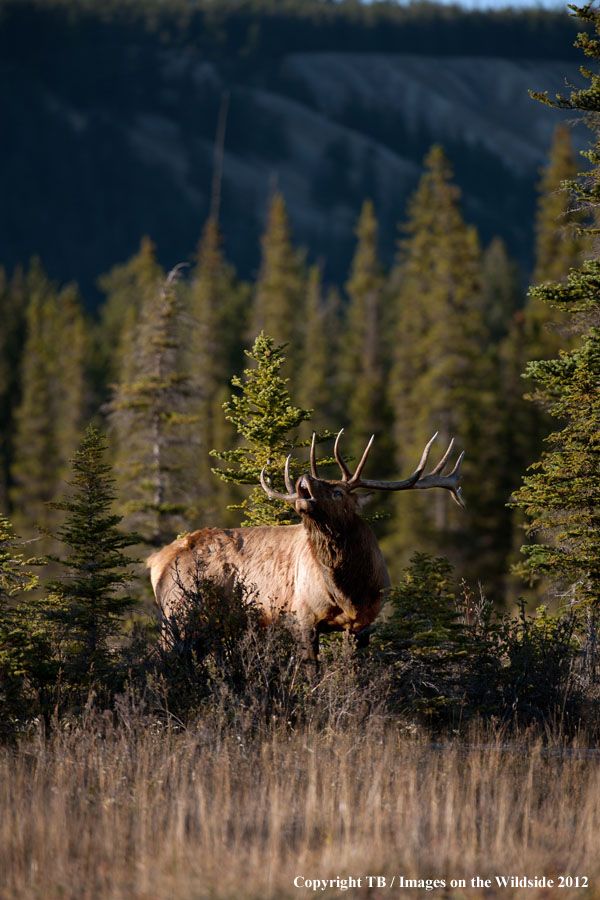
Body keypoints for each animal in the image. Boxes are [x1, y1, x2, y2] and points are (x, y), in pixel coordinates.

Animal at [146, 430, 464, 660]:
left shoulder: (362, 624)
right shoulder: (303, 617)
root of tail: (156, 560)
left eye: (338, 492)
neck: (350, 591)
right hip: (177, 612)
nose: (304, 477)